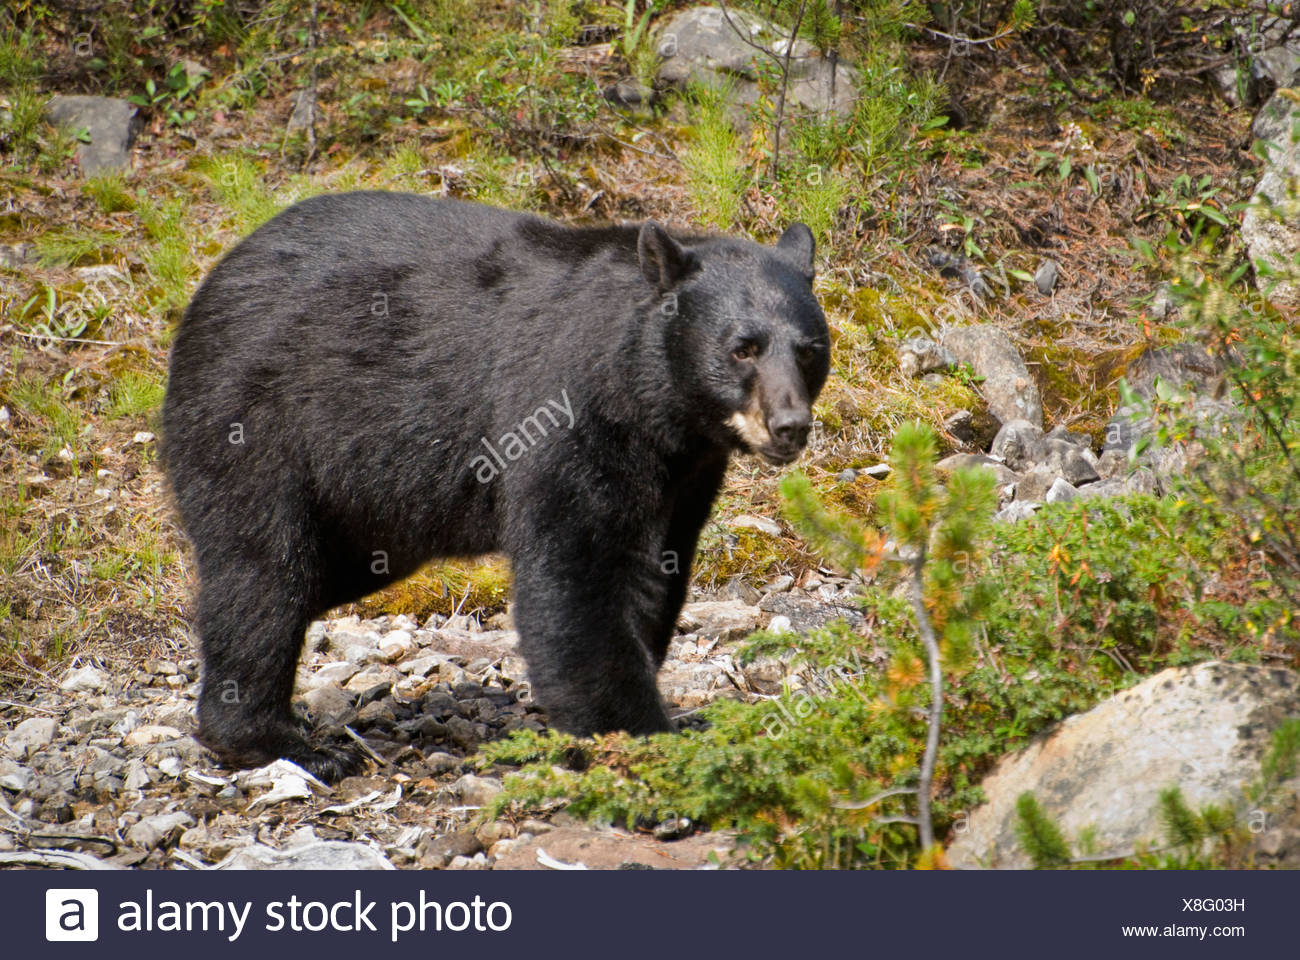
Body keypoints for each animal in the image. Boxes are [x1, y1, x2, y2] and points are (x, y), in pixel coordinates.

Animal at [162, 191, 826, 780]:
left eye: (810, 350)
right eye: (743, 348)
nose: (789, 425)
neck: (651, 401)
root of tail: (206, 290)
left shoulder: (683, 472)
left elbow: (653, 571)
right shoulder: (565, 408)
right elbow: (576, 574)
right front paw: (639, 742)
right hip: (255, 423)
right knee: (263, 576)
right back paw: (282, 743)